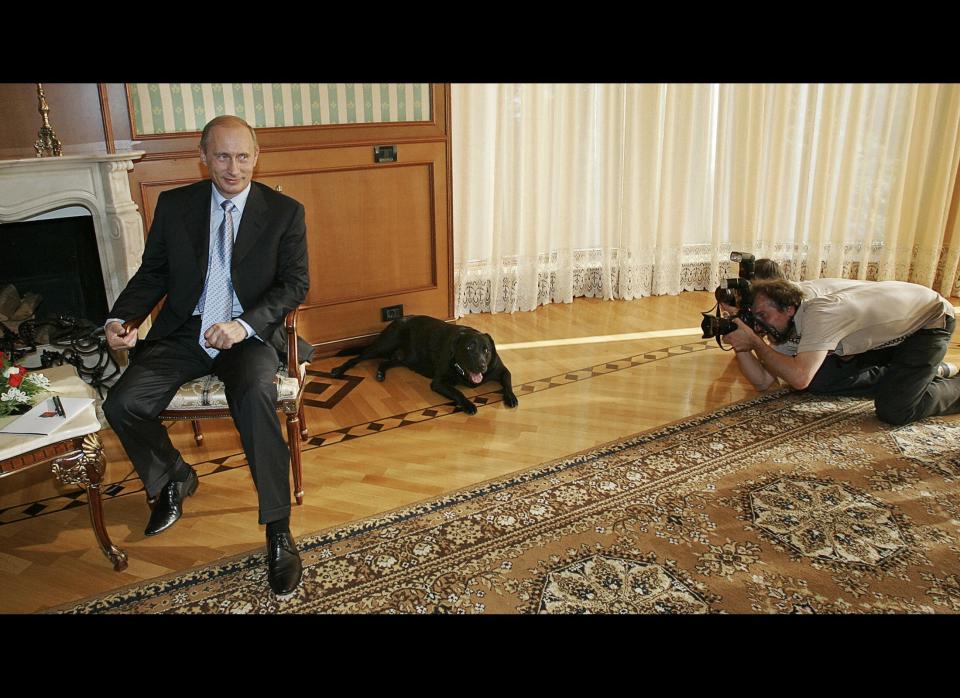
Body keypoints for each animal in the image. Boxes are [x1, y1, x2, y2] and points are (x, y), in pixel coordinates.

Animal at [334, 316, 520, 414]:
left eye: (486, 350)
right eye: (468, 348)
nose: (482, 366)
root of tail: (398, 319)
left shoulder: (502, 370)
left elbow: (507, 383)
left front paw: (511, 397)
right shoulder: (438, 383)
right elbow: (458, 392)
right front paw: (468, 404)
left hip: (402, 359)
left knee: (385, 362)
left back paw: (381, 373)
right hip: (383, 345)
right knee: (357, 357)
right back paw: (338, 370)